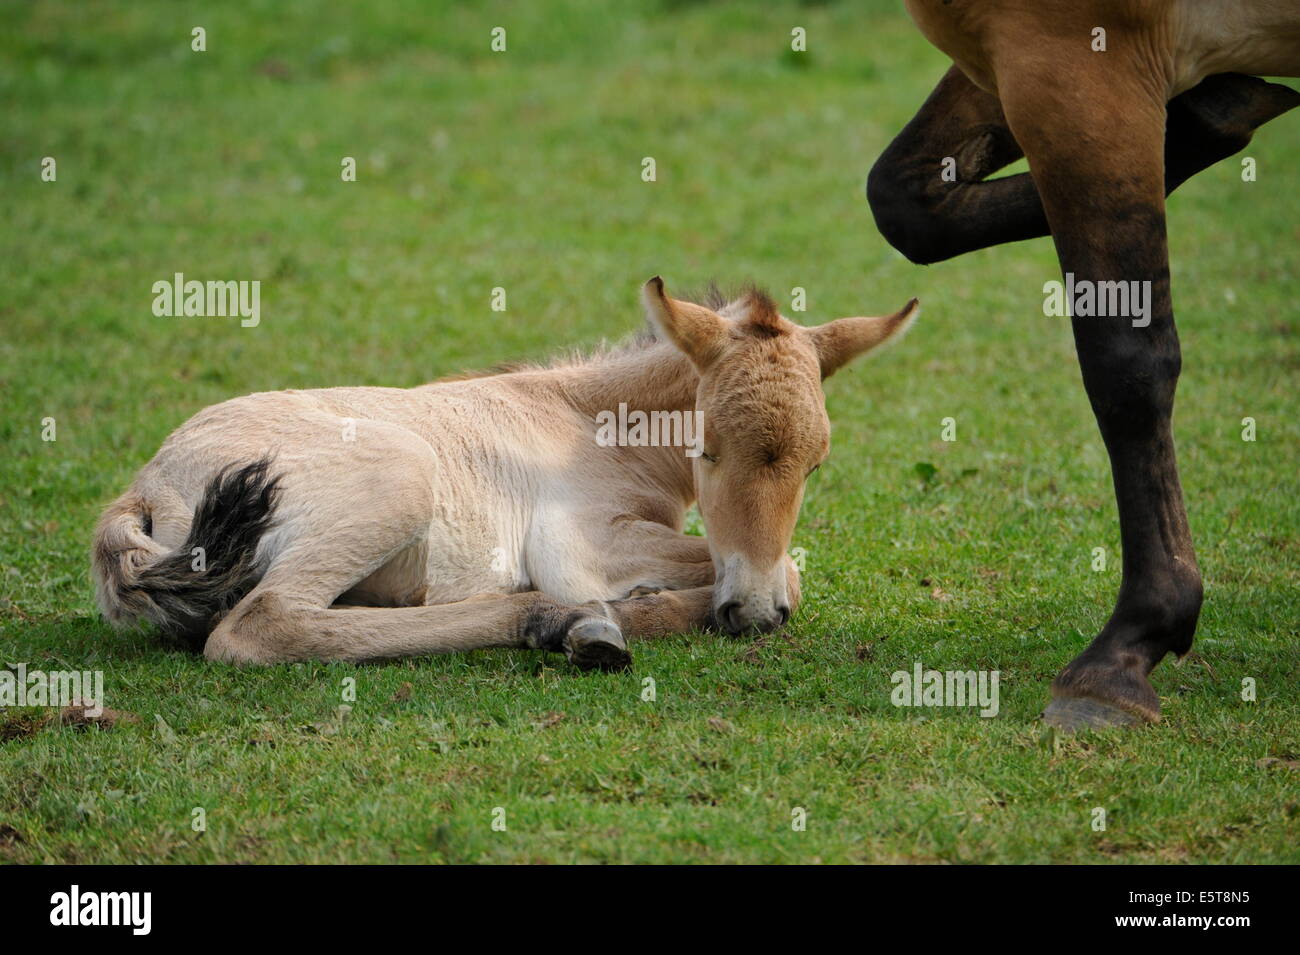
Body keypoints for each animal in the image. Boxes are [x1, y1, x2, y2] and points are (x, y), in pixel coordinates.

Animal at [92, 278, 917, 669]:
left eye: (817, 462)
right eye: (707, 447)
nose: (752, 613)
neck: (585, 417)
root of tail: (145, 485)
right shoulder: (580, 541)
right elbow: (786, 571)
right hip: (402, 477)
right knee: (262, 623)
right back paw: (562, 621)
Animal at [867, 0, 1300, 728]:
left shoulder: (1073, 66)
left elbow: (1127, 361)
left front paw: (1128, 646)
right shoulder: (1009, 52)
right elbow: (907, 201)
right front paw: (1218, 115)